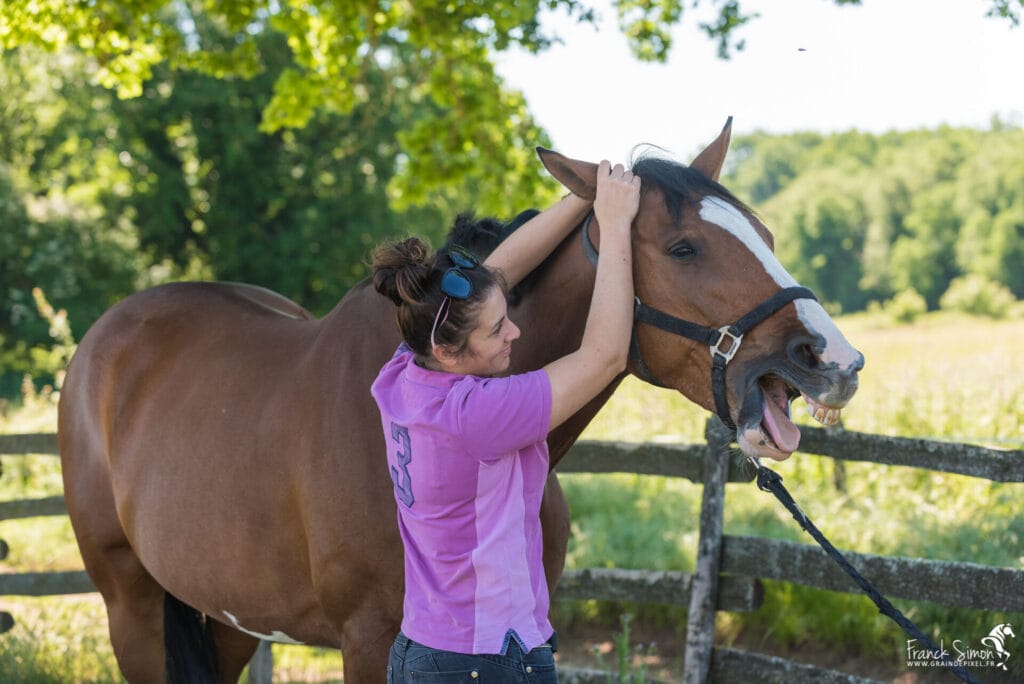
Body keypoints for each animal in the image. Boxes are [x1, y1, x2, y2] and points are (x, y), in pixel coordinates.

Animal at [58, 118, 864, 682]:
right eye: (684, 248)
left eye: (764, 233)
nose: (834, 360)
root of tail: (105, 339)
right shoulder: (369, 643)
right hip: (131, 608)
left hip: (226, 614)